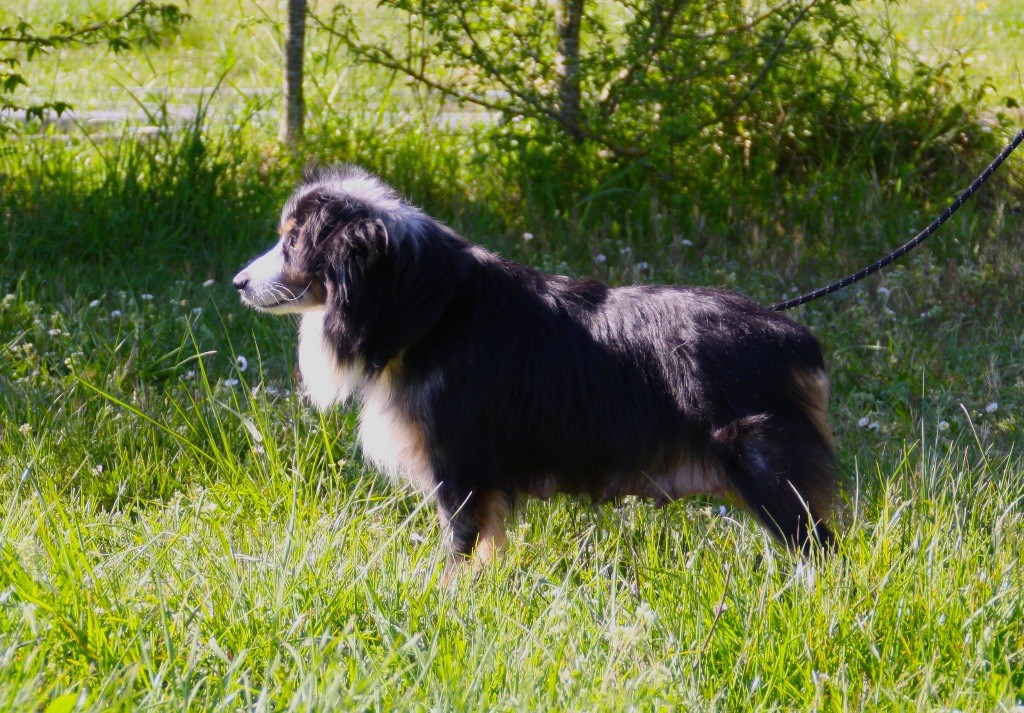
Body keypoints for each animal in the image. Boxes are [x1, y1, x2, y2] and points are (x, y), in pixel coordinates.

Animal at [234, 163, 839, 565]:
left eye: (293, 242)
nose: (237, 283)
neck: (430, 310)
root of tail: (794, 338)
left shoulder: (460, 469)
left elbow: (458, 552)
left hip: (765, 467)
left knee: (819, 549)